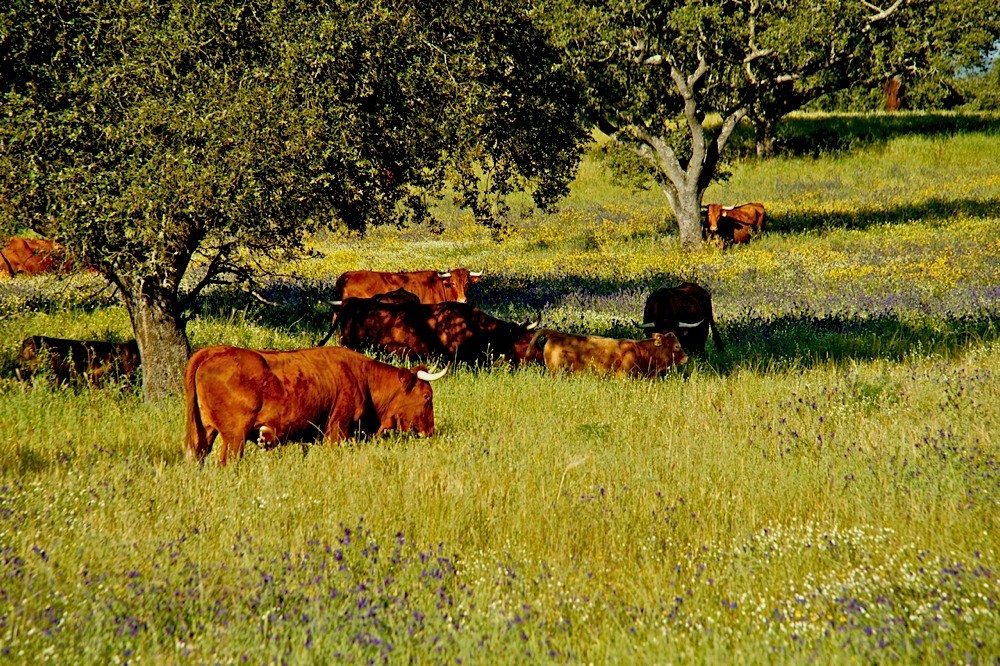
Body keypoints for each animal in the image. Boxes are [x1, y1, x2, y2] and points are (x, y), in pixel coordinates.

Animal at [183, 344, 446, 464]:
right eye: (427, 396)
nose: (430, 431)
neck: (363, 378)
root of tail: (214, 350)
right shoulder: (337, 430)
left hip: (204, 432)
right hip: (234, 437)